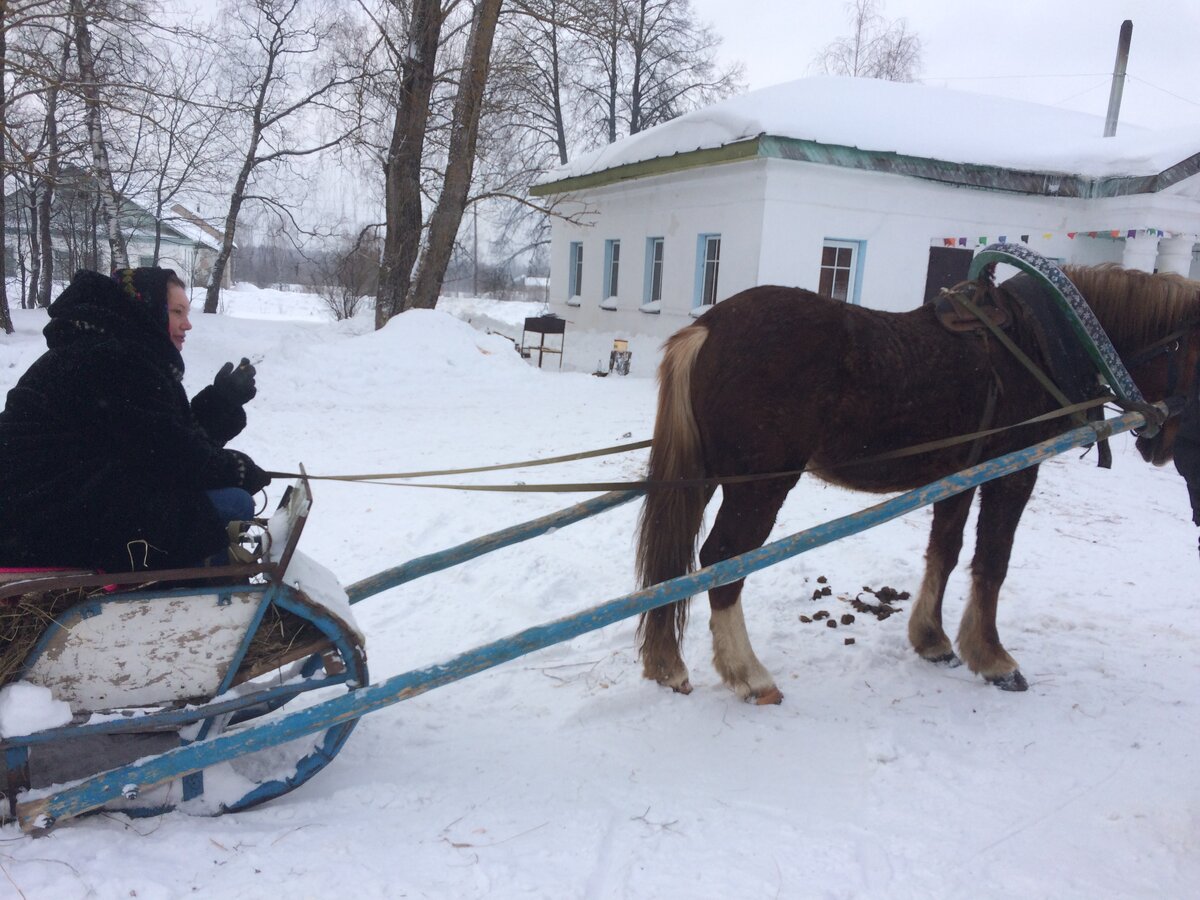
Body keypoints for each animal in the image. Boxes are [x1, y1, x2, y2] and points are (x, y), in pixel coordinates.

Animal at [638, 264, 1200, 700]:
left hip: (707, 477)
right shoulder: (1014, 472)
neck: (1037, 343)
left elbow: (945, 552)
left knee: (678, 561)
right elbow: (993, 561)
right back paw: (749, 674)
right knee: (721, 561)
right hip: (759, 486)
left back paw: (668, 665)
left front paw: (933, 639)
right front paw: (993, 657)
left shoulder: (958, 475)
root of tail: (708, 327)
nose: (1164, 443)